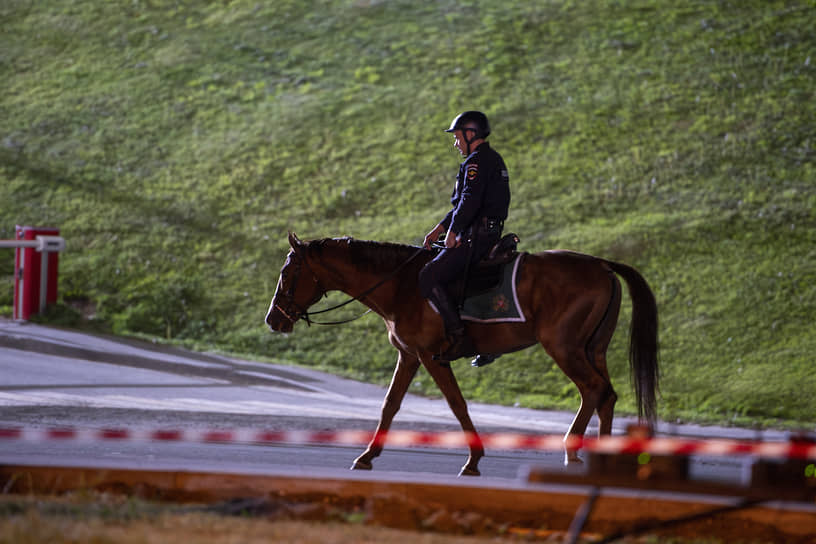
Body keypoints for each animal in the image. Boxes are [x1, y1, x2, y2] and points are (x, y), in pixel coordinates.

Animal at [264, 234, 660, 476]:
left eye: (287, 272)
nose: (272, 320)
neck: (402, 285)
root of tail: (601, 264)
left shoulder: (429, 356)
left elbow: (456, 404)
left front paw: (473, 459)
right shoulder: (409, 356)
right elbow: (390, 405)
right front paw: (367, 455)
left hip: (564, 348)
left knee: (592, 390)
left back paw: (573, 451)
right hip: (592, 349)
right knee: (607, 396)